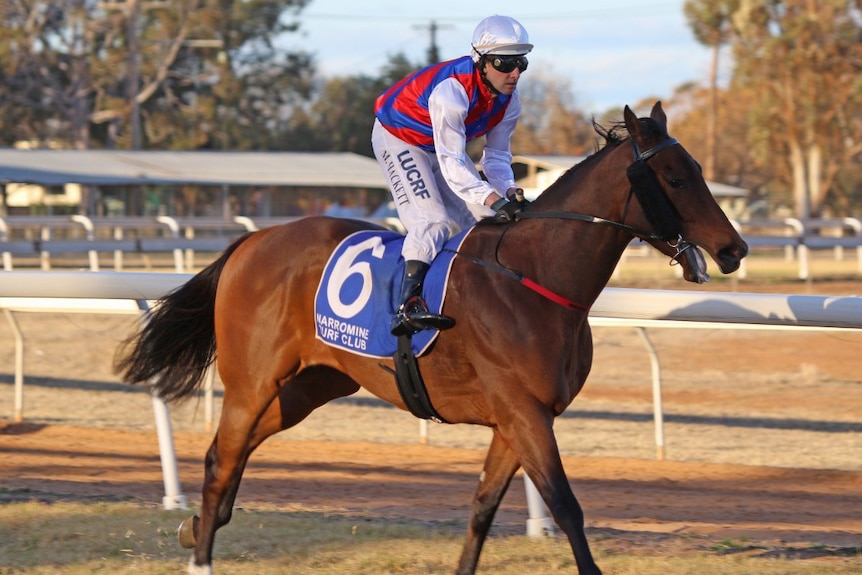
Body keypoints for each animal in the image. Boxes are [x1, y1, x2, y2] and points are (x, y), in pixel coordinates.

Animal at [115, 103, 748, 575]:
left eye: (697, 170)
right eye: (675, 177)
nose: (734, 249)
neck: (535, 277)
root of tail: (251, 242)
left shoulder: (518, 418)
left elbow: (483, 508)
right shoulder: (523, 412)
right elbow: (567, 507)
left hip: (311, 386)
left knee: (231, 454)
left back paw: (196, 526)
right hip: (253, 381)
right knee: (223, 459)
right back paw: (201, 554)